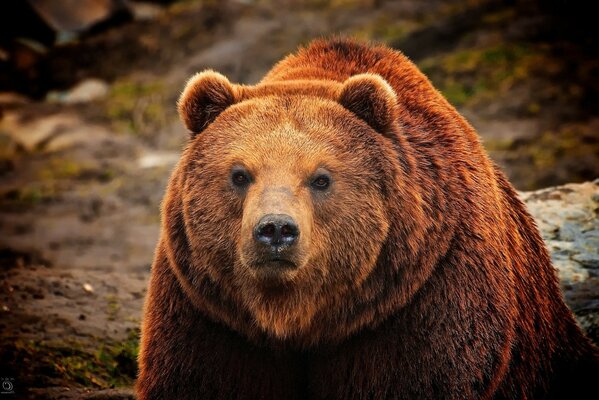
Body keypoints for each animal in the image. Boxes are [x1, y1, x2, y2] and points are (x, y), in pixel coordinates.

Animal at [137, 38, 599, 400]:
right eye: (239, 174)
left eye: (321, 178)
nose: (275, 230)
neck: (298, 317)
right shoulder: (211, 311)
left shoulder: (424, 298)